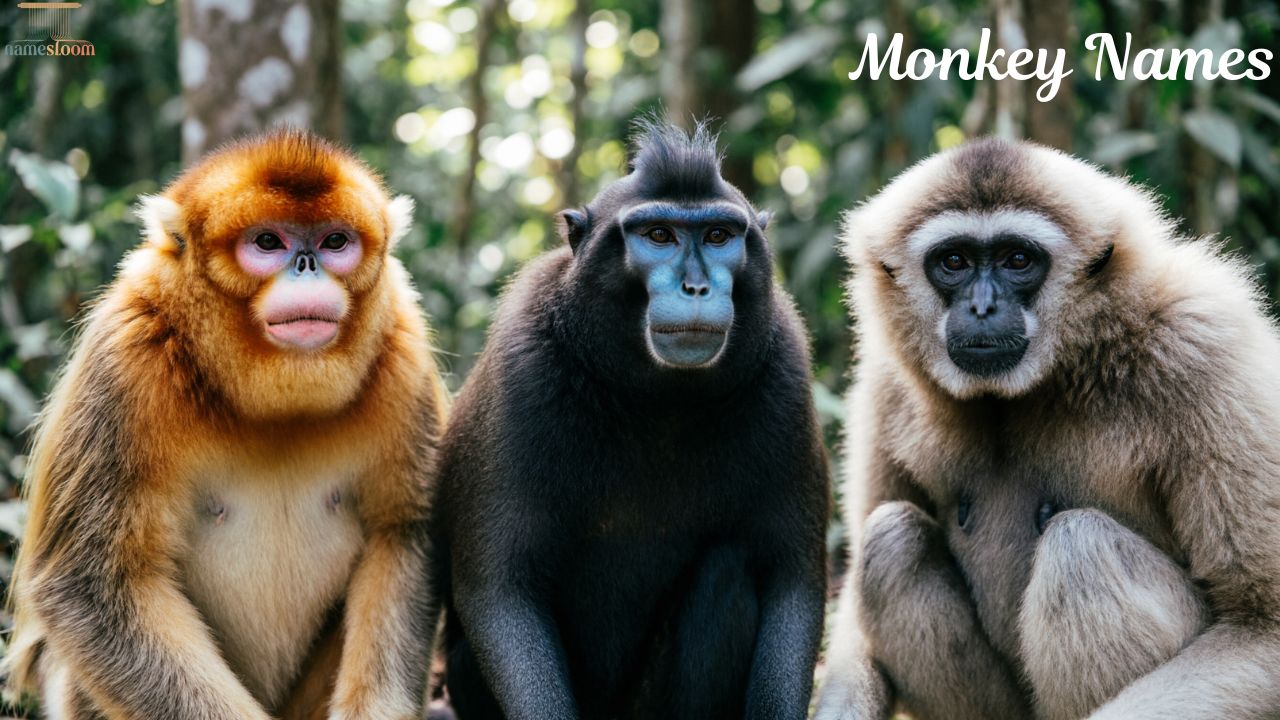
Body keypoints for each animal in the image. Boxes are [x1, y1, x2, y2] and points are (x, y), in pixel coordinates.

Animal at [3, 129, 448, 720]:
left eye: (334, 241)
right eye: (267, 242)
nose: (306, 264)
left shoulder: (402, 345)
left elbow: (400, 535)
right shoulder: (126, 353)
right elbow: (91, 586)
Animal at [429, 120, 830, 720]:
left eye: (718, 236)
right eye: (659, 235)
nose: (696, 287)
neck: (656, 397)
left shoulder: (783, 370)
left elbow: (793, 582)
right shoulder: (522, 372)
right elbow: (502, 593)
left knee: (727, 571)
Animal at [815, 137, 1280, 720]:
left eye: (1018, 260)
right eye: (953, 261)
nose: (982, 305)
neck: (1067, 366)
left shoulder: (1205, 344)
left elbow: (1261, 624)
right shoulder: (885, 378)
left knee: (1080, 544)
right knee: (893, 536)